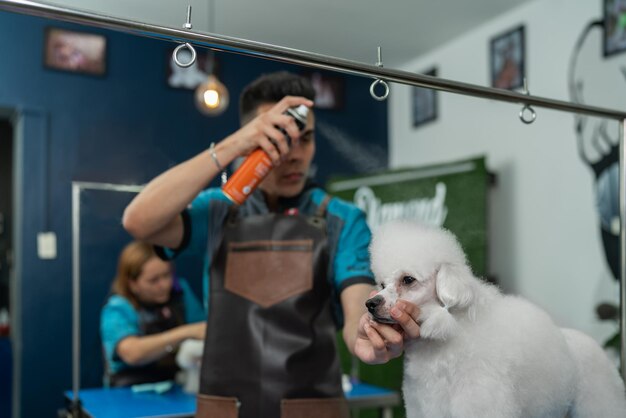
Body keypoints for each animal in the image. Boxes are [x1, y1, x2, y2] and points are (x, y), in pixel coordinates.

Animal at [364, 220, 624, 416]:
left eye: (408, 280)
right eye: (382, 285)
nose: (370, 304)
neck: (444, 341)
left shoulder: (480, 402)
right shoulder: (427, 405)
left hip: (599, 402)